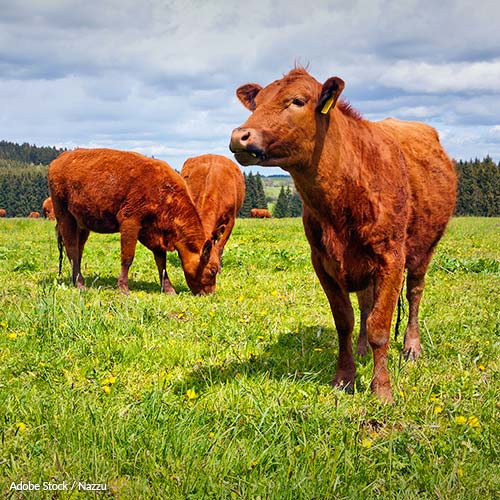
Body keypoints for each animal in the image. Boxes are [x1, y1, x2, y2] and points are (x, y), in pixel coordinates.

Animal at [48, 148, 219, 296]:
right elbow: (127, 258)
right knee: (71, 249)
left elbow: (161, 262)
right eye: (212, 270)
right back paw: (80, 284)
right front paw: (123, 288)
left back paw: (76, 280)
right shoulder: (130, 222)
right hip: (65, 217)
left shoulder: (155, 233)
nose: (210, 294)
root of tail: (59, 160)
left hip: (82, 224)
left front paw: (168, 289)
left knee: (79, 249)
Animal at [230, 67, 458, 402]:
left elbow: (380, 327)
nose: (240, 136)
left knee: (415, 293)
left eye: (298, 100)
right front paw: (344, 378)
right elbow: (345, 321)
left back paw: (411, 348)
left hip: (424, 249)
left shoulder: (391, 258)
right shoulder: (323, 262)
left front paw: (381, 389)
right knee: (366, 303)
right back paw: (362, 350)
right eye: (256, 103)